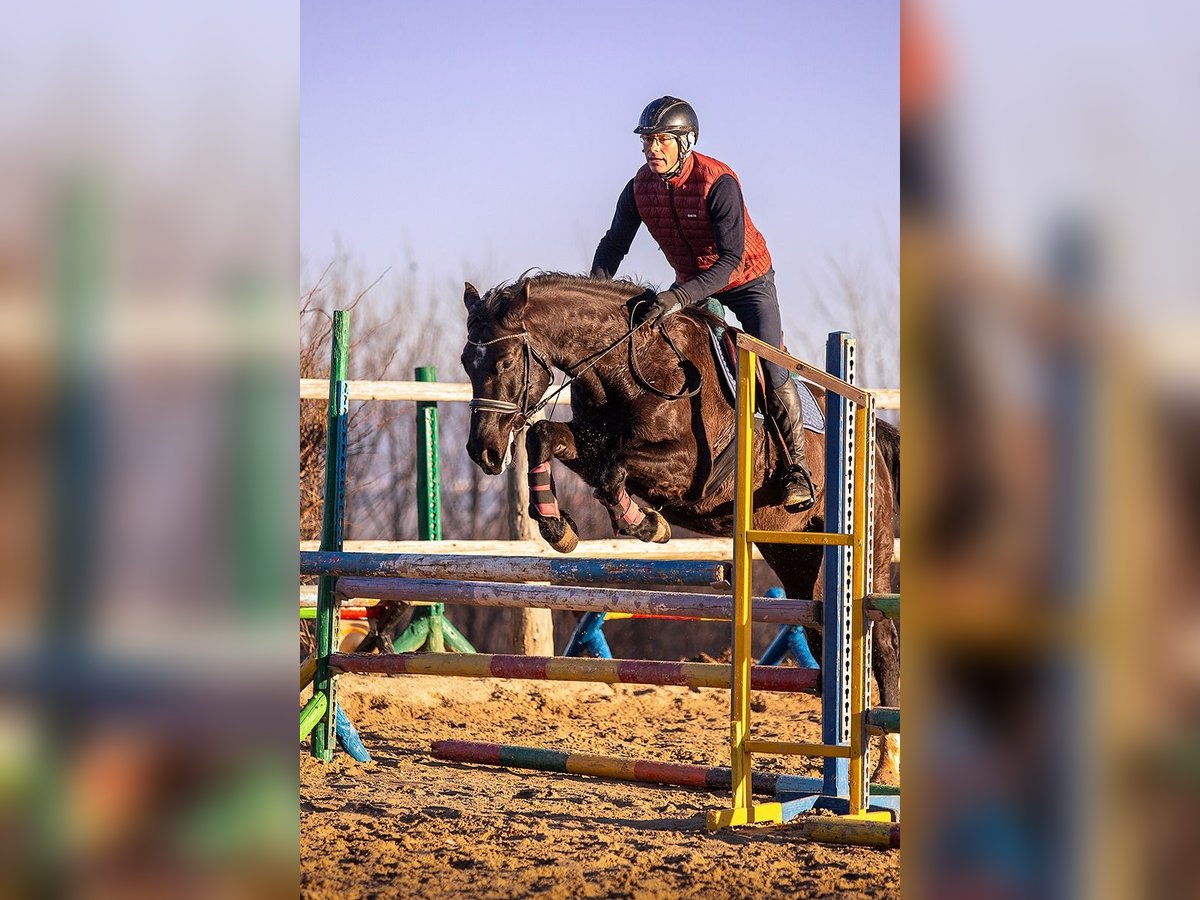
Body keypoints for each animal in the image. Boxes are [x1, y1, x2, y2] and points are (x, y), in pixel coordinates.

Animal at [461, 272, 900, 782]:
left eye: (505, 361)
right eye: (466, 363)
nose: (483, 452)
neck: (629, 364)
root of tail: (874, 438)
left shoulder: (688, 469)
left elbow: (614, 467)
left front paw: (644, 522)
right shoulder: (588, 443)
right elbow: (545, 437)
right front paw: (557, 525)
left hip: (867, 553)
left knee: (883, 644)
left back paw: (884, 767)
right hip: (799, 562)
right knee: (823, 628)